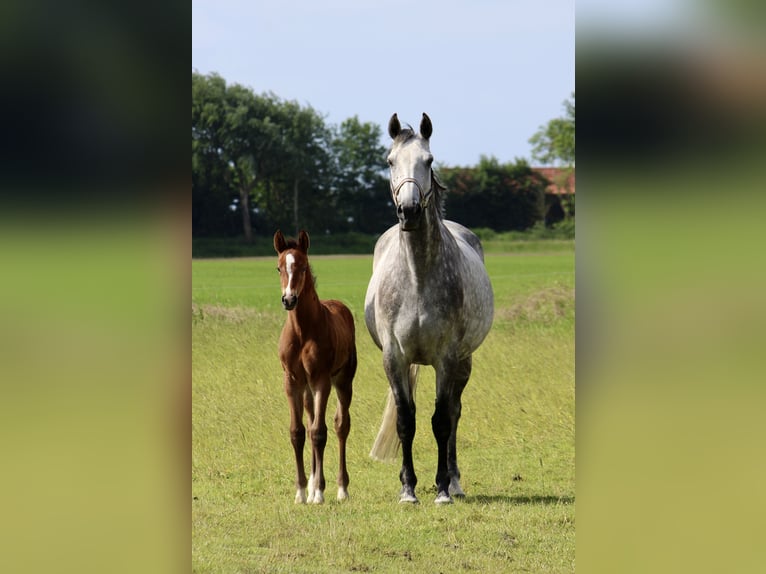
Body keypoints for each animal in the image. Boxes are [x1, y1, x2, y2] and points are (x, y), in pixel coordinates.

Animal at [368, 112, 498, 504]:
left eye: (429, 161)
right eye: (390, 161)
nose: (409, 211)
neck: (418, 276)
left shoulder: (447, 357)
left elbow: (441, 421)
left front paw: (441, 488)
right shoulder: (394, 358)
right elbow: (405, 421)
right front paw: (408, 489)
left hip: (464, 363)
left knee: (454, 413)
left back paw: (454, 481)